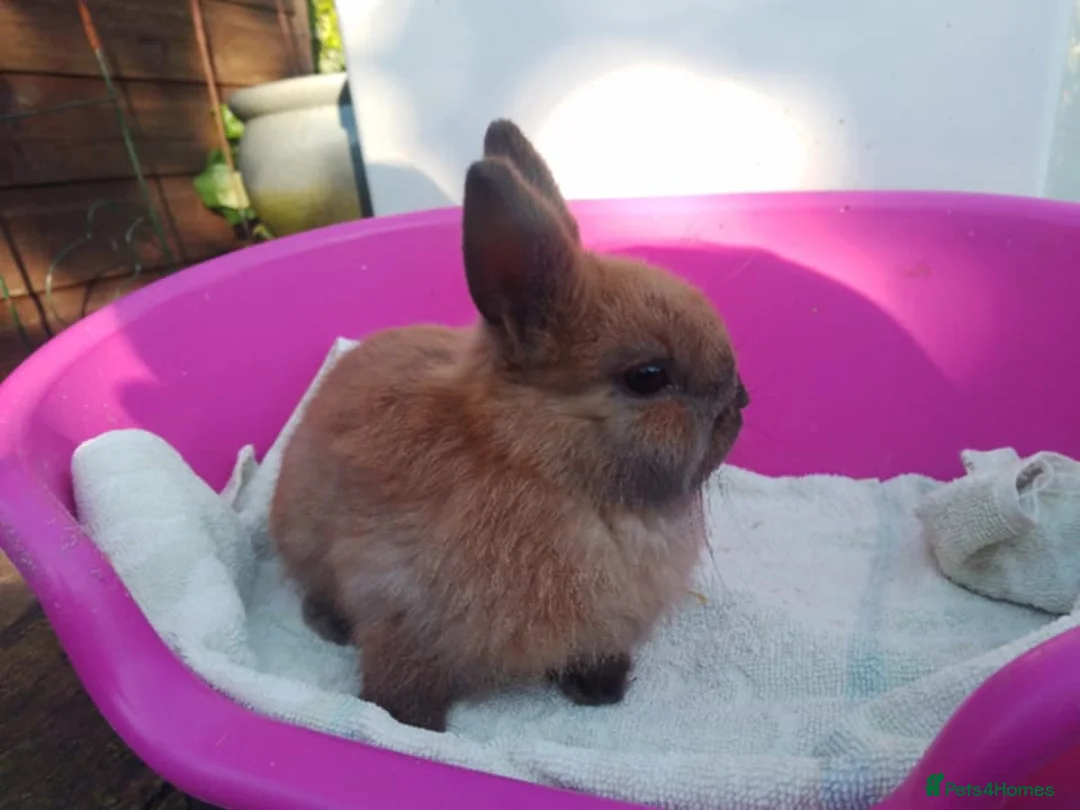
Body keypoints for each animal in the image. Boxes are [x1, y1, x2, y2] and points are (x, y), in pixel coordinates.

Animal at [269, 118, 749, 732]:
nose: (742, 399)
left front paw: (603, 692)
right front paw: (412, 727)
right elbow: (401, 685)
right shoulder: (399, 611)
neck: (540, 466)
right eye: (648, 377)